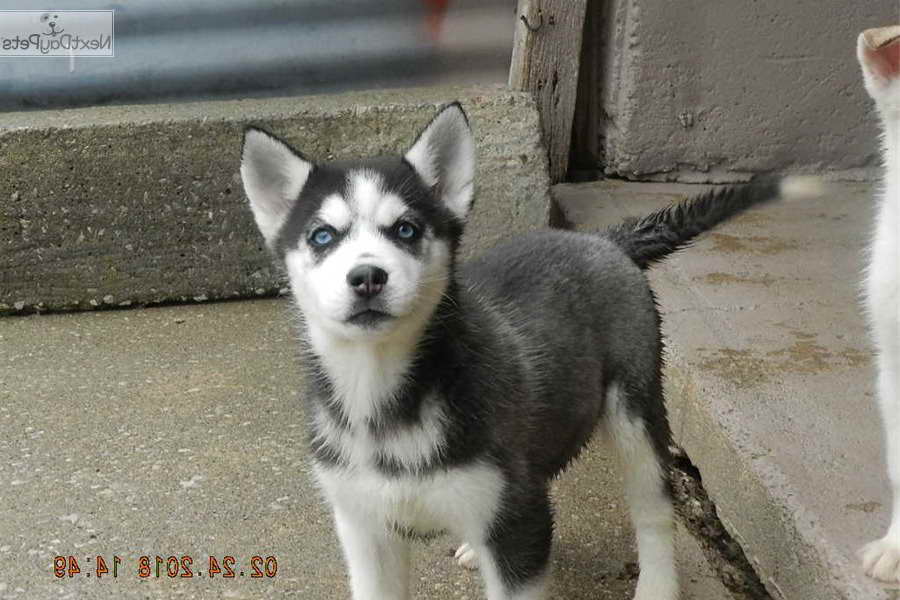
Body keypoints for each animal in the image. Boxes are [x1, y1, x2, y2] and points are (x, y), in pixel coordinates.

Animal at [239, 104, 816, 600]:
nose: (366, 277)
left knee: (653, 508)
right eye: (322, 236)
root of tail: (604, 240)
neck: (380, 390)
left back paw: (656, 586)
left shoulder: (521, 529)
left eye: (405, 229)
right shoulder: (364, 527)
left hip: (636, 409)